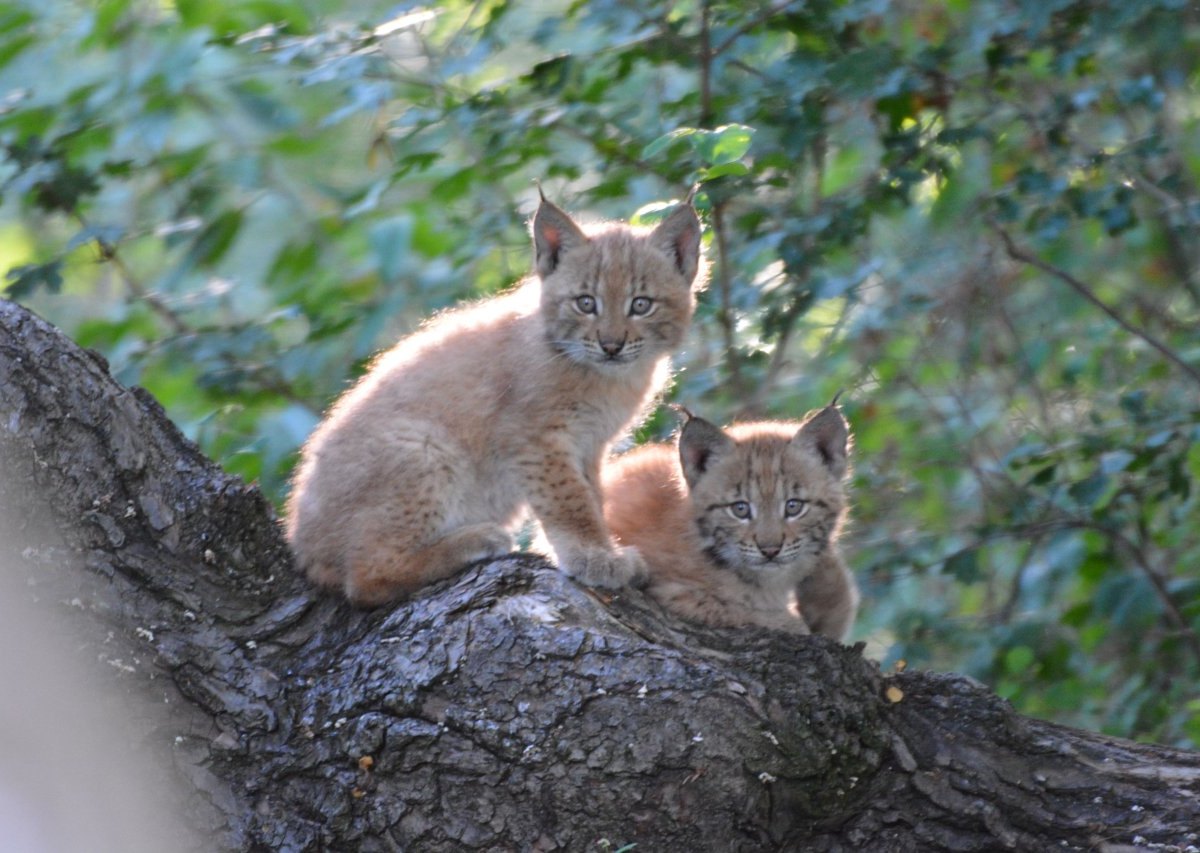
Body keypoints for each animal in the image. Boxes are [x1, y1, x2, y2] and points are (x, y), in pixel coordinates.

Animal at [286, 193, 705, 607]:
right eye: (586, 303)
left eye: (641, 304)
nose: (612, 345)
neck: (607, 375)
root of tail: (299, 544)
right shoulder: (536, 438)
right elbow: (570, 501)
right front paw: (595, 558)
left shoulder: (589, 443)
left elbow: (593, 497)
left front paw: (597, 550)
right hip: (423, 446)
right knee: (364, 580)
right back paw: (473, 540)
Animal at [604, 407, 859, 643]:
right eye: (740, 509)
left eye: (793, 506)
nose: (770, 550)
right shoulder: (671, 590)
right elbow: (737, 609)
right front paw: (792, 623)